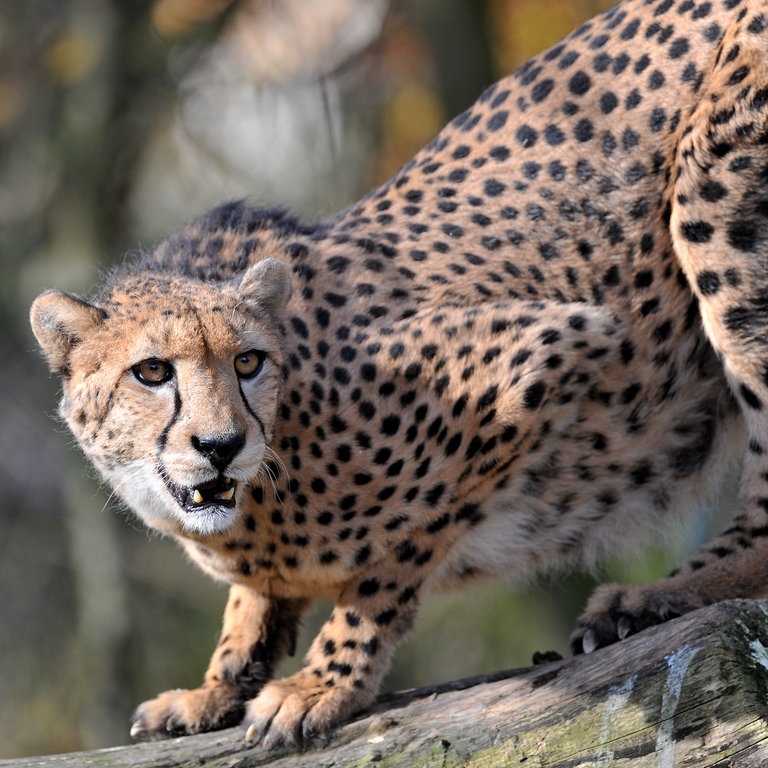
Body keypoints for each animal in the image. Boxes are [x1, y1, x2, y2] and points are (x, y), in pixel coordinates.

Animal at [33, 0, 768, 752]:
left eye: (247, 362)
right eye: (151, 371)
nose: (220, 446)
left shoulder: (546, 350)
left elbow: (390, 561)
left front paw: (320, 683)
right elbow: (257, 597)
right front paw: (218, 682)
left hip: (714, 191)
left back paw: (657, 596)